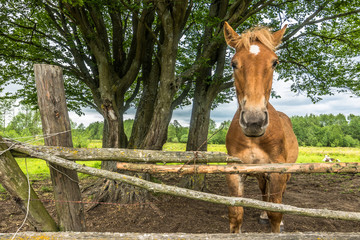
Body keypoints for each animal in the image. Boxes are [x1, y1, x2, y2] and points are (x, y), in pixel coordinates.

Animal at [224, 21, 300, 233]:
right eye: (233, 63)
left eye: (275, 62)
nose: (254, 120)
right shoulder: (235, 172)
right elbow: (236, 215)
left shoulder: (276, 171)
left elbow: (276, 213)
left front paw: (277, 223)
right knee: (264, 193)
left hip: (285, 172)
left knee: (279, 196)